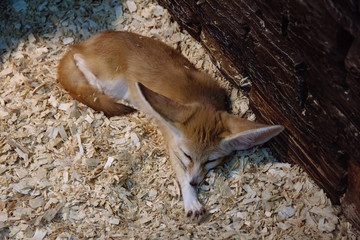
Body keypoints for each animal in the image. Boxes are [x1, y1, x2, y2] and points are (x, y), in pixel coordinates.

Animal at [57, 31, 284, 220]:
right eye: (187, 156)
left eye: (211, 160)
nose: (195, 182)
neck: (202, 99)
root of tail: (85, 42)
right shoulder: (172, 144)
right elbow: (181, 173)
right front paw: (191, 200)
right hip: (112, 84)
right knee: (78, 60)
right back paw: (92, 81)